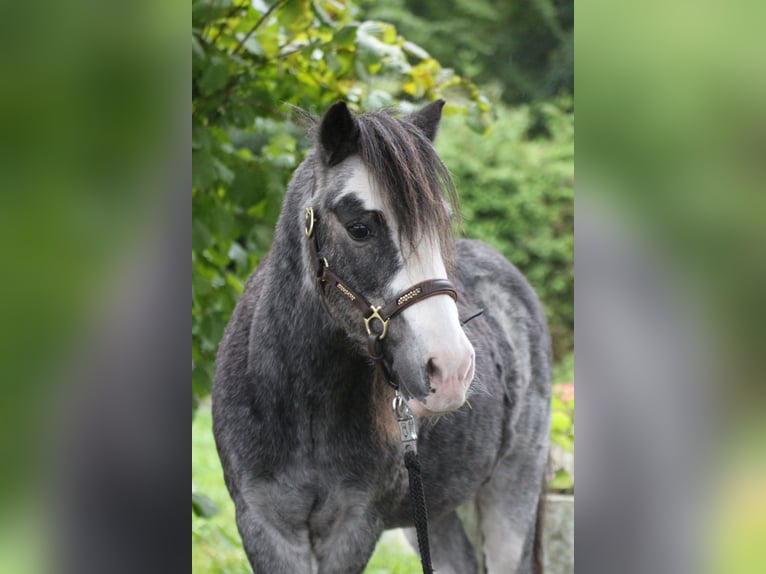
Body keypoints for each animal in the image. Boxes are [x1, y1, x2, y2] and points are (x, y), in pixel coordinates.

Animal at [213, 101, 556, 572]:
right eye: (359, 228)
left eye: (441, 222)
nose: (452, 369)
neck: (300, 406)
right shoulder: (265, 526)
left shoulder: (354, 528)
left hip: (511, 492)